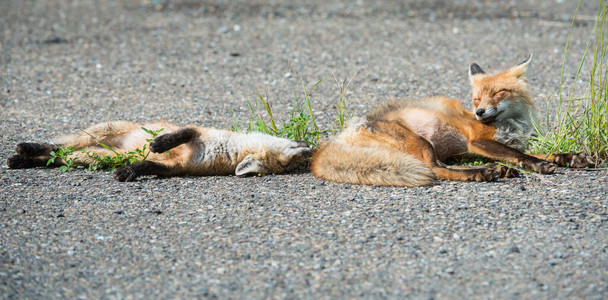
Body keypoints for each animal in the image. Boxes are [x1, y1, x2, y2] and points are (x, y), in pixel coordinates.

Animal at [312, 54, 592, 185]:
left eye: (497, 93)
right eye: (476, 99)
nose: (480, 113)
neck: (510, 124)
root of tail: (334, 140)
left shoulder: (502, 143)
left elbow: (535, 153)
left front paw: (569, 157)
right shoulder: (477, 142)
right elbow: (522, 156)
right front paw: (540, 166)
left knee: (442, 166)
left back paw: (497, 169)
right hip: (422, 143)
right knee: (435, 170)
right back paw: (483, 173)